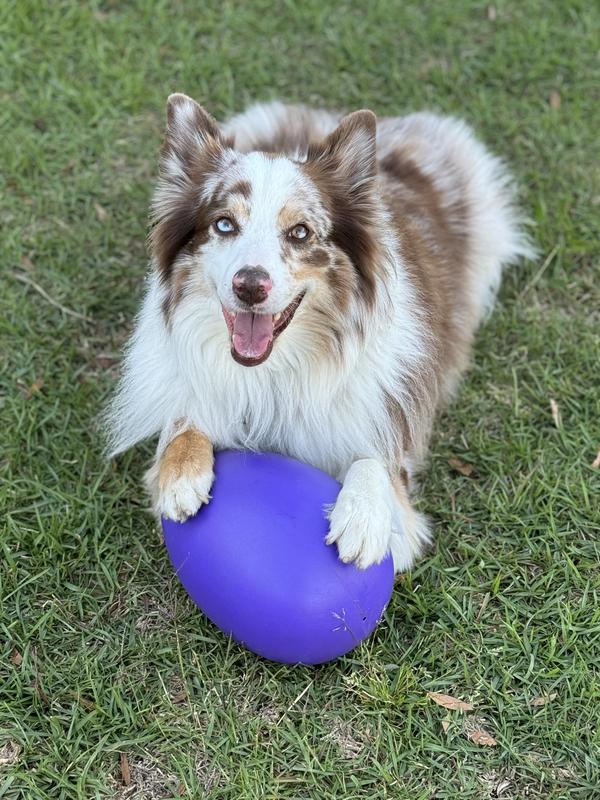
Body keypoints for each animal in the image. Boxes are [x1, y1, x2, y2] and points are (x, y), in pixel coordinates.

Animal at [103, 92, 528, 568]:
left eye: (301, 232)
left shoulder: (386, 437)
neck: (273, 371)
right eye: (224, 224)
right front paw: (180, 475)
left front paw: (362, 518)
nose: (250, 285)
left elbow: (374, 463)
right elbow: (182, 421)